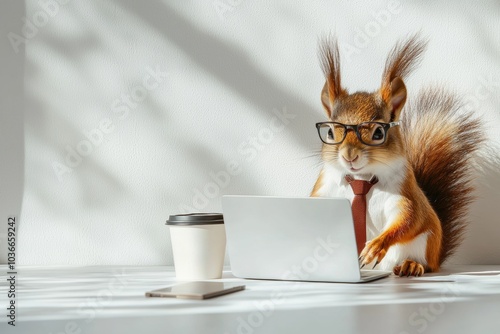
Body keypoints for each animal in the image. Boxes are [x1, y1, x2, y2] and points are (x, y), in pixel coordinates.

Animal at [310, 34, 482, 276]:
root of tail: (437, 256)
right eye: (330, 132)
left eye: (378, 132)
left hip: (424, 245)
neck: (363, 178)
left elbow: (408, 219)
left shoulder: (404, 194)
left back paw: (411, 265)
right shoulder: (325, 190)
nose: (349, 156)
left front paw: (375, 247)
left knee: (424, 263)